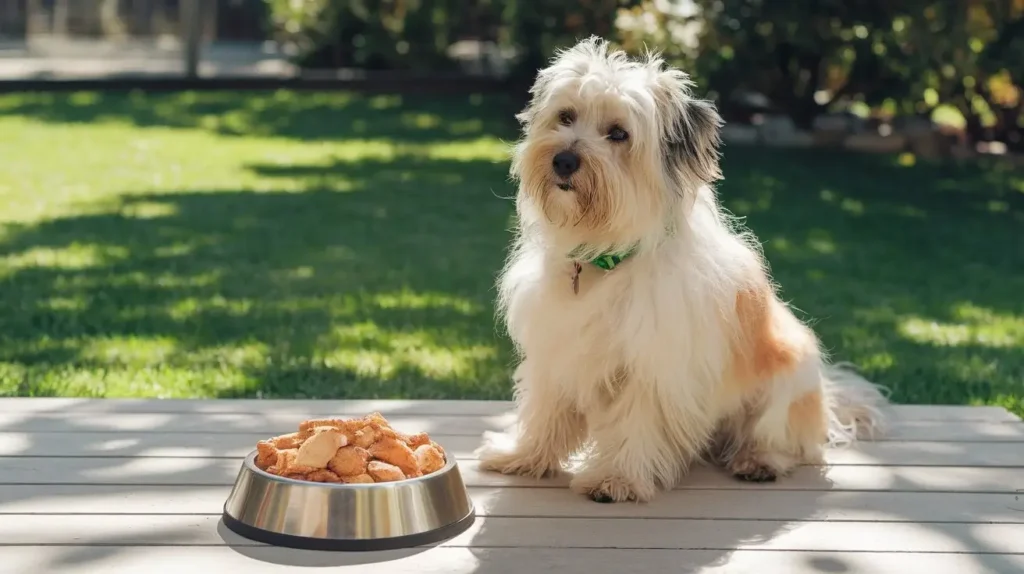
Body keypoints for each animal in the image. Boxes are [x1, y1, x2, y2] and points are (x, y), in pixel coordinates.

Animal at [475, 36, 884, 501]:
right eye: (566, 116)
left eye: (619, 134)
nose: (563, 160)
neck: (604, 256)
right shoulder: (556, 350)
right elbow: (545, 410)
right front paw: (523, 456)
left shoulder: (653, 368)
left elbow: (635, 423)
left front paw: (616, 478)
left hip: (786, 378)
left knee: (779, 439)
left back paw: (757, 460)